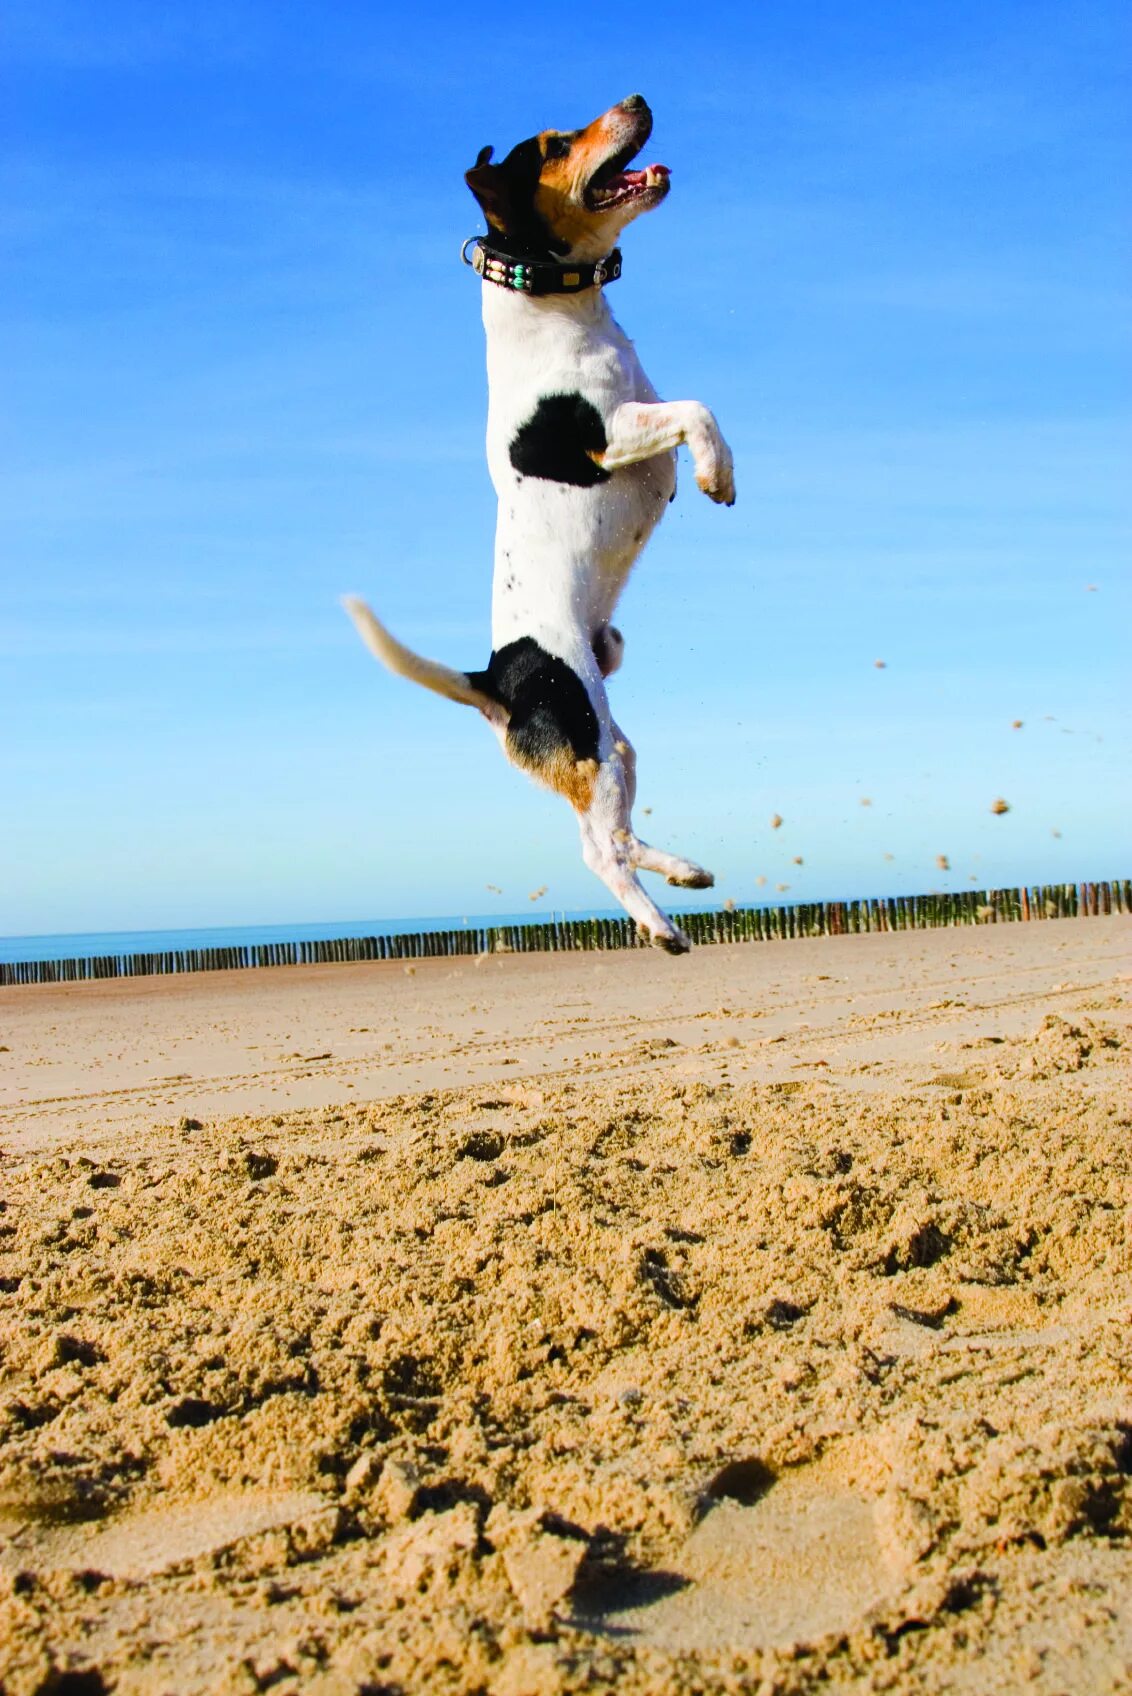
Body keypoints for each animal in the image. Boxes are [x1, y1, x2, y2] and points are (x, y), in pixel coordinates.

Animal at [346, 92, 736, 956]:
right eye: (557, 145)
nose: (638, 99)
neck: (556, 301)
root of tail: (493, 679)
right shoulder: (610, 433)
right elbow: (699, 409)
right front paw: (715, 474)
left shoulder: (639, 409)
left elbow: (697, 405)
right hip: (587, 734)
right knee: (599, 851)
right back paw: (661, 925)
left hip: (610, 742)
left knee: (614, 834)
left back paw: (685, 871)